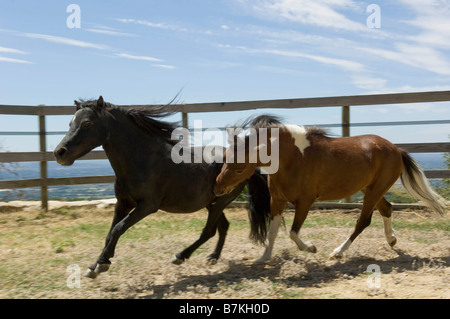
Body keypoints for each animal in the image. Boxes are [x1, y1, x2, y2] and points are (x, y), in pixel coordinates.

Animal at [52, 96, 270, 278]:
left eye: (87, 123)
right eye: (70, 123)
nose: (59, 153)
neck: (143, 159)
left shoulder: (147, 206)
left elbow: (118, 229)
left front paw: (101, 265)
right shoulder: (122, 203)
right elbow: (110, 233)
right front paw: (95, 265)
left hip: (221, 201)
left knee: (209, 230)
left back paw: (180, 256)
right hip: (212, 202)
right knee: (223, 226)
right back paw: (213, 257)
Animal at [214, 115, 446, 262]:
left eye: (239, 168)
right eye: (225, 158)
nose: (218, 187)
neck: (293, 158)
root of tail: (397, 149)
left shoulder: (305, 202)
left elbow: (293, 233)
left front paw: (311, 248)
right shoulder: (277, 200)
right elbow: (273, 232)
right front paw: (263, 258)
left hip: (374, 191)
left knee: (363, 221)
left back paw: (338, 252)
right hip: (370, 189)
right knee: (387, 209)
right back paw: (392, 240)